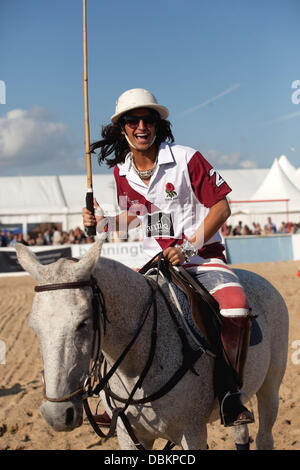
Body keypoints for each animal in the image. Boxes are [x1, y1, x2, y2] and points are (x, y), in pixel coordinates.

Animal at [15, 241, 288, 450]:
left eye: (82, 323)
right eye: (33, 326)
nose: (57, 415)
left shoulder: (193, 432)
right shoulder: (130, 436)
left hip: (270, 386)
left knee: (265, 437)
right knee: (241, 433)